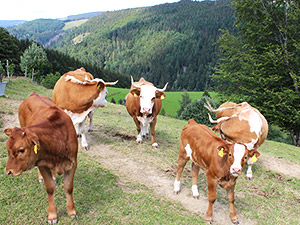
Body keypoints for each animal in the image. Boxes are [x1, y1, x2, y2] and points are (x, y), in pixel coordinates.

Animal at [4, 92, 78, 224]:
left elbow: (68, 188)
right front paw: (52, 215)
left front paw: (72, 212)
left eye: (21, 150)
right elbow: (50, 188)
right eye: (8, 149)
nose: (8, 171)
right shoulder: (42, 164)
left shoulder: (73, 164)